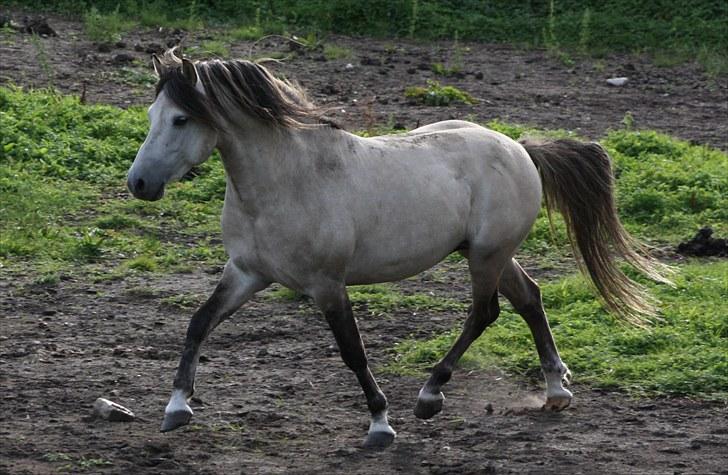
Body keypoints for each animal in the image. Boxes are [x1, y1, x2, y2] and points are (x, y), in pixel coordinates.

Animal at [126, 52, 672, 450]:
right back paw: (556, 391)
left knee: (486, 312)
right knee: (529, 299)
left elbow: (352, 351)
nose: (139, 184)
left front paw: (380, 425)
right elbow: (199, 323)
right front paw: (177, 408)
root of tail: (518, 147)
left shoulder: (327, 284)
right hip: (488, 252)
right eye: (152, 115)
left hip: (486, 255)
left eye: (180, 119)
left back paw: (430, 396)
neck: (286, 183)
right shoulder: (245, 272)